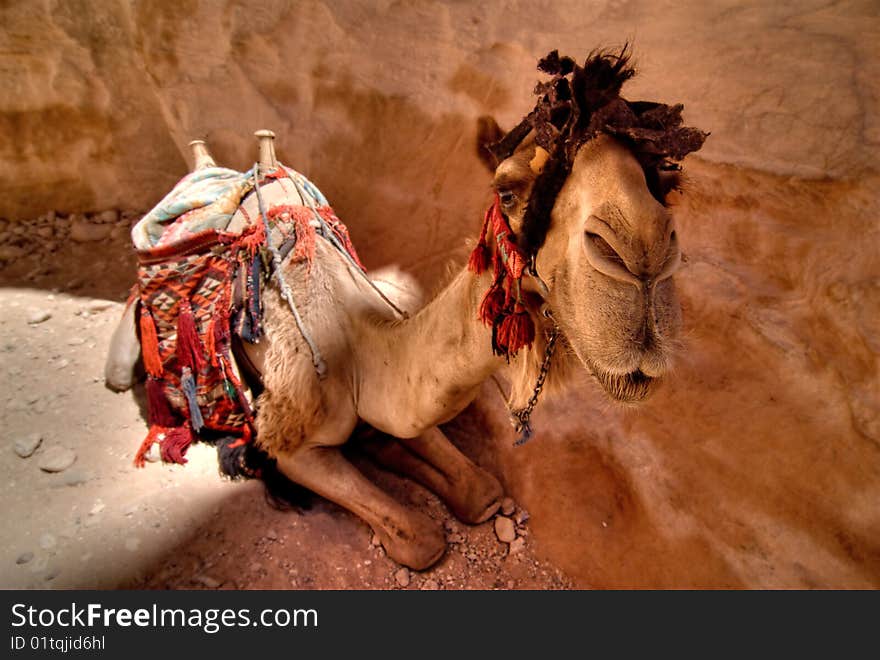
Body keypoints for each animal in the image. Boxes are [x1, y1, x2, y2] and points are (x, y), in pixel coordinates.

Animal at [105, 51, 708, 568]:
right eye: (507, 190)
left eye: (665, 181)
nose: (643, 256)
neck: (359, 349)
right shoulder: (292, 443)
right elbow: (420, 539)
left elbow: (482, 488)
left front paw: (395, 453)